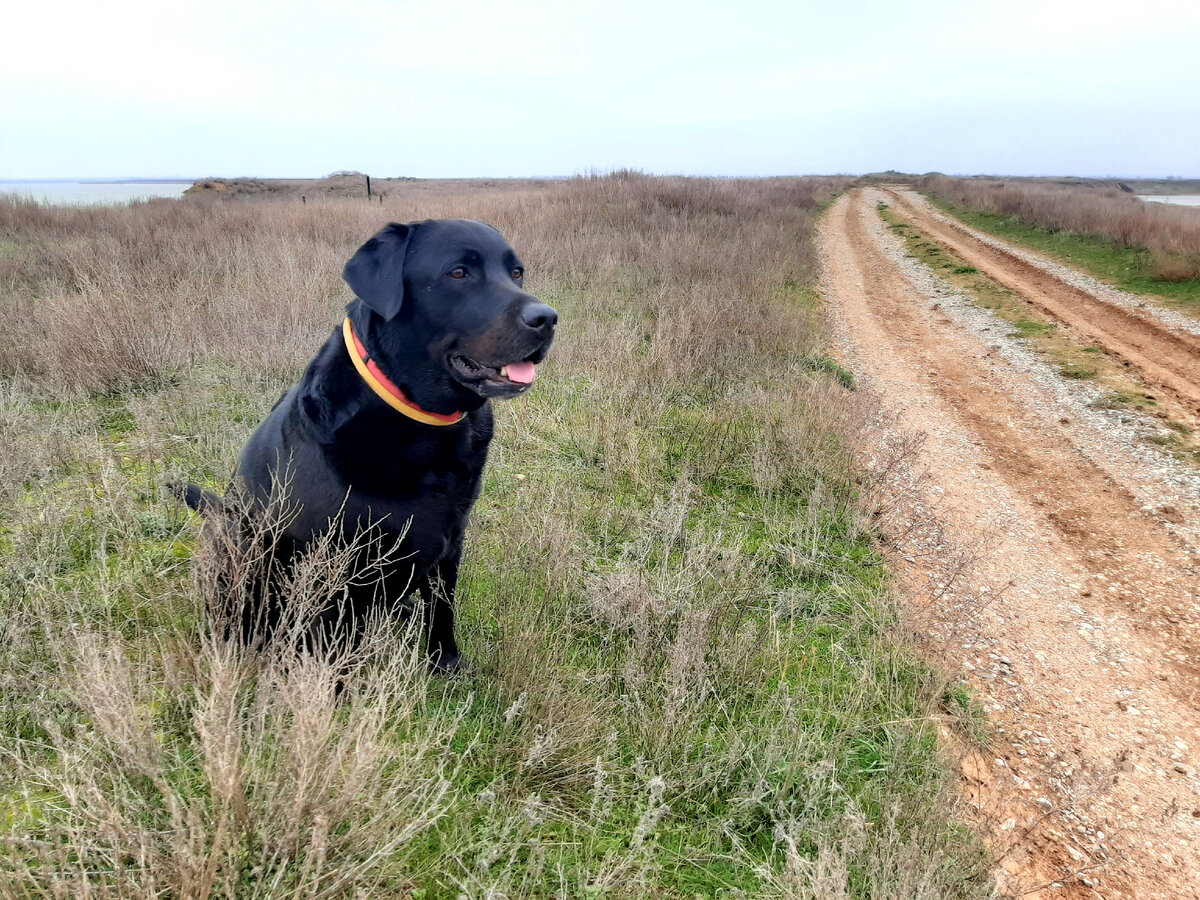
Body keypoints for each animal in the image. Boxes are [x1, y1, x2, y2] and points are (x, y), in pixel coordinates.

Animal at [182, 218, 556, 672]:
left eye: (516, 273)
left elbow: (442, 610)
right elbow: (332, 649)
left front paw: (445, 664)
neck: (420, 423)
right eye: (458, 273)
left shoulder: (452, 539)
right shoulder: (330, 568)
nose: (548, 318)